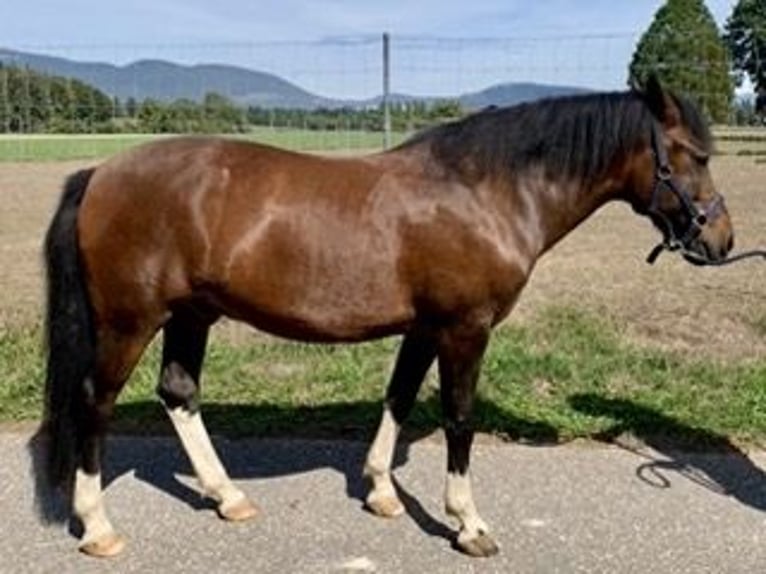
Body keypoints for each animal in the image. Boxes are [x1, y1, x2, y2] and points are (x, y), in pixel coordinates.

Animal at [36, 76, 733, 558]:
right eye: (693, 155)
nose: (721, 240)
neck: (486, 192)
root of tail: (101, 172)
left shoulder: (424, 328)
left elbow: (399, 398)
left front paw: (381, 492)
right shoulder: (464, 329)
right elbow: (458, 419)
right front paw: (468, 524)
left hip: (191, 315)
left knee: (178, 392)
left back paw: (228, 497)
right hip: (130, 320)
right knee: (95, 402)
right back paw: (98, 526)